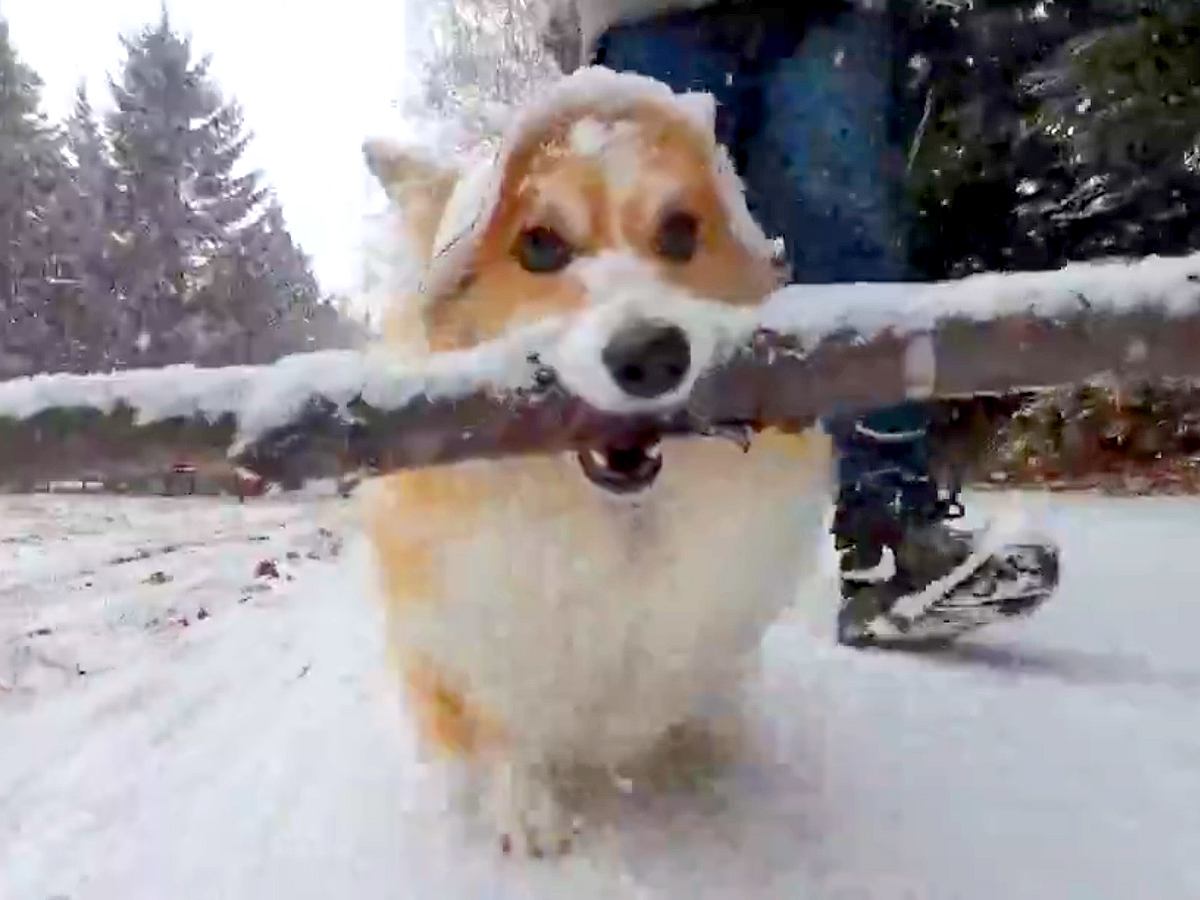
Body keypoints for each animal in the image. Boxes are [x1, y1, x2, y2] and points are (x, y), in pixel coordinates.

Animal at [364, 66, 835, 854]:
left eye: (679, 232)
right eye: (540, 246)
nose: (653, 355)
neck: (619, 527)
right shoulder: (479, 644)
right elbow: (507, 735)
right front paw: (528, 814)